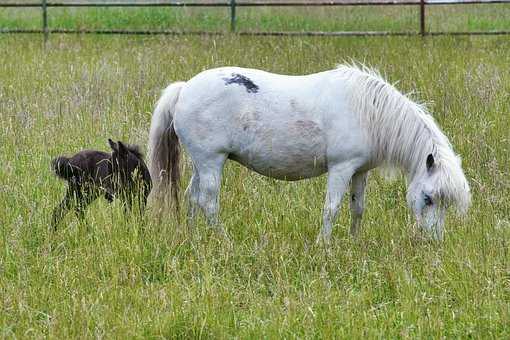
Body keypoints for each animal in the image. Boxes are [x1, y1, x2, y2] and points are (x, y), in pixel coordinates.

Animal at [147, 64, 470, 242]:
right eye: (428, 198)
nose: (433, 242)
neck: (369, 113)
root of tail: (184, 88)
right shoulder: (341, 168)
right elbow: (332, 209)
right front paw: (323, 246)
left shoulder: (360, 171)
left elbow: (357, 208)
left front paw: (354, 243)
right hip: (211, 161)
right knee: (208, 202)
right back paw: (225, 242)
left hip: (203, 163)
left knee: (192, 198)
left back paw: (194, 239)